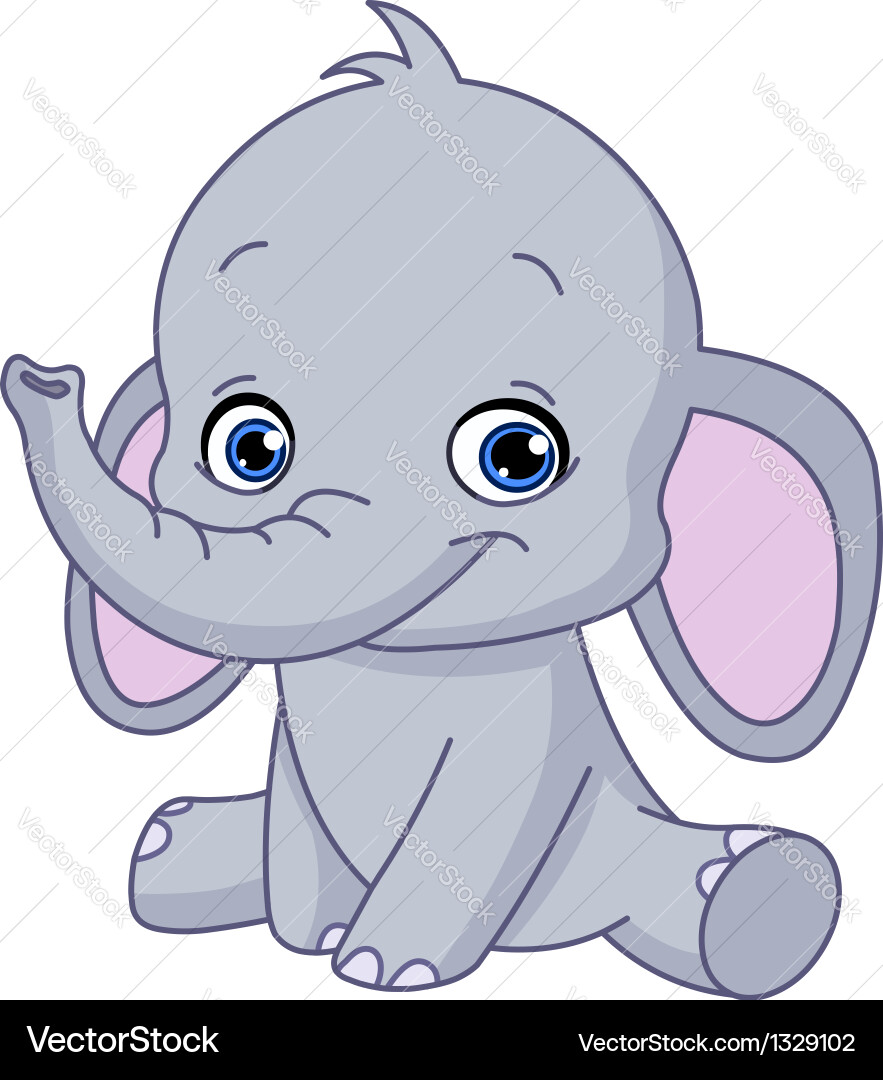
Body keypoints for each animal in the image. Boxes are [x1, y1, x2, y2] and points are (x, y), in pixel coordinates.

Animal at [3, 2, 880, 997]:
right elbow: (294, 812)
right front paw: (309, 939)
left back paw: (746, 884)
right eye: (249, 448)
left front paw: (383, 967)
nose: (43, 379)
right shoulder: (294, 739)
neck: (406, 666)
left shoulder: (523, 739)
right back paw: (168, 841)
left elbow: (469, 831)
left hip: (615, 852)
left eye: (517, 455)